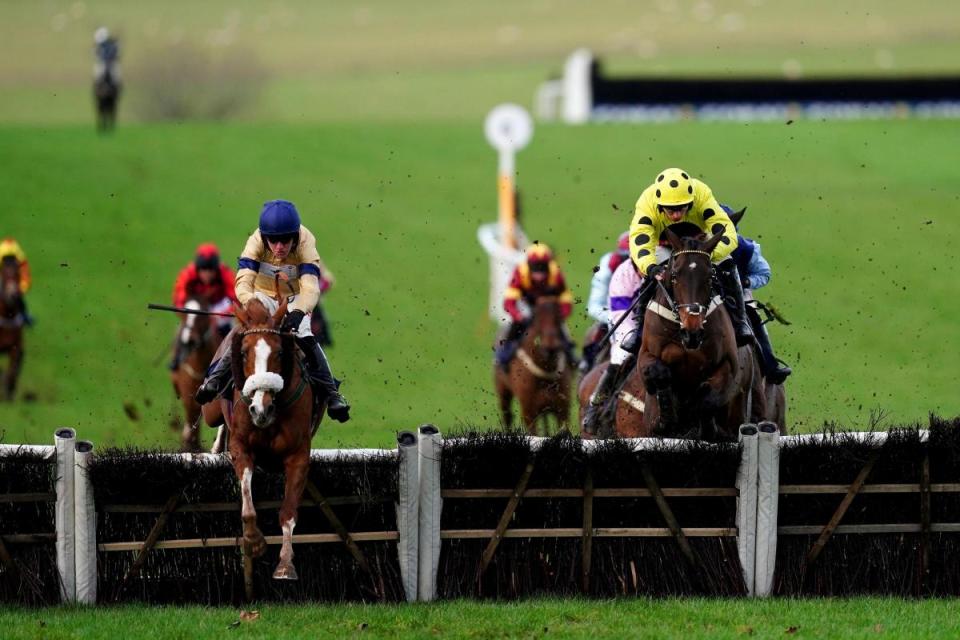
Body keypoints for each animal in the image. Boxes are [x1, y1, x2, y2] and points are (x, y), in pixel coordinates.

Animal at [224, 296, 318, 580]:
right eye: (244, 352)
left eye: (279, 353)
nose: (260, 409)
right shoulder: (240, 446)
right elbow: (247, 499)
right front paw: (254, 541)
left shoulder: (298, 456)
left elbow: (288, 512)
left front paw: (285, 564)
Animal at [496, 298, 568, 438]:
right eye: (538, 319)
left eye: (558, 318)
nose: (551, 346)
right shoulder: (529, 413)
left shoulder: (562, 410)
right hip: (503, 392)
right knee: (507, 416)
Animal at [636, 228, 764, 442]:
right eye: (675, 276)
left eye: (710, 277)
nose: (692, 332)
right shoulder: (646, 355)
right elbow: (657, 372)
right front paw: (667, 415)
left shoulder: (730, 368)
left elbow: (707, 399)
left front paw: (704, 425)